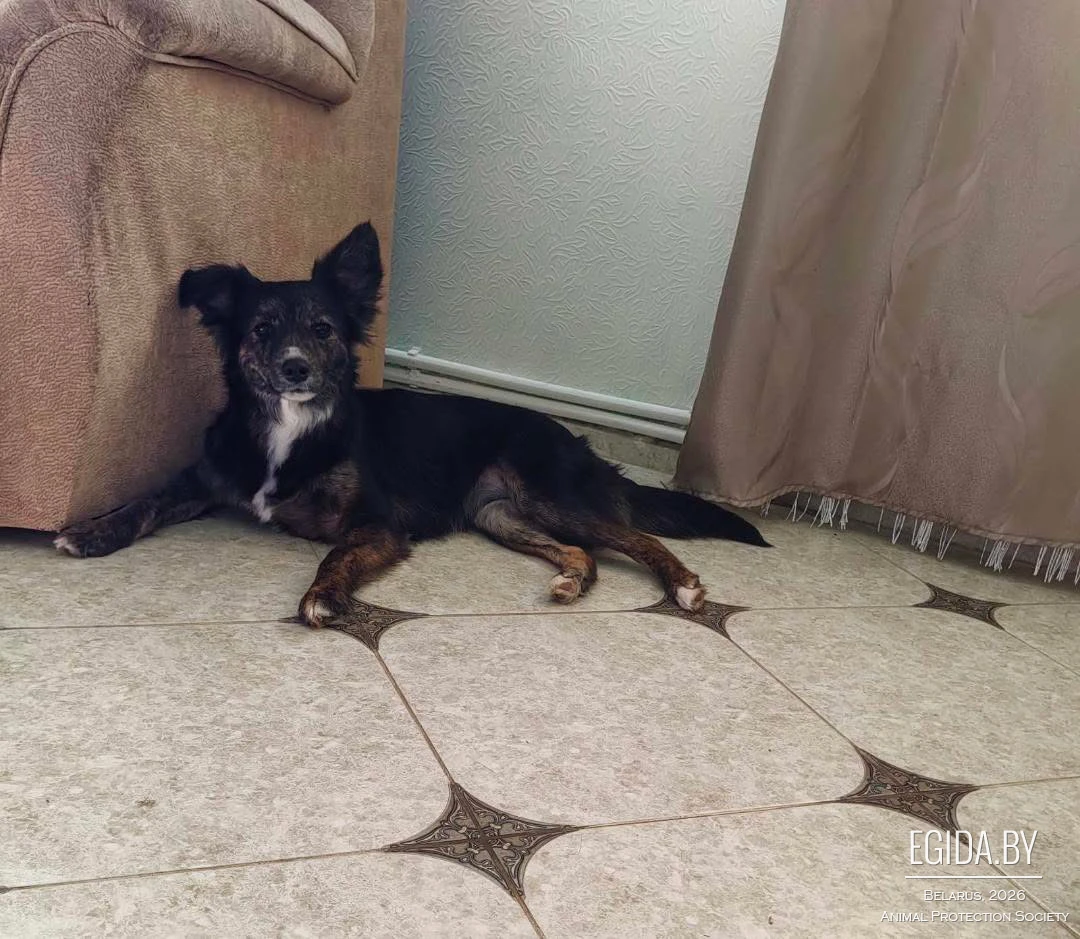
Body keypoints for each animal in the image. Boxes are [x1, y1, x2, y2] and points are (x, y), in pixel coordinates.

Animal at [55, 222, 768, 626]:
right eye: (260, 330)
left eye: (323, 330)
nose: (294, 368)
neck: (289, 429)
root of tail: (576, 439)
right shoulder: (203, 481)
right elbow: (144, 502)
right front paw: (90, 532)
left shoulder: (377, 524)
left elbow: (336, 554)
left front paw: (323, 597)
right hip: (499, 514)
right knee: (583, 554)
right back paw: (570, 580)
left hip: (549, 495)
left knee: (635, 538)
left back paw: (684, 587)